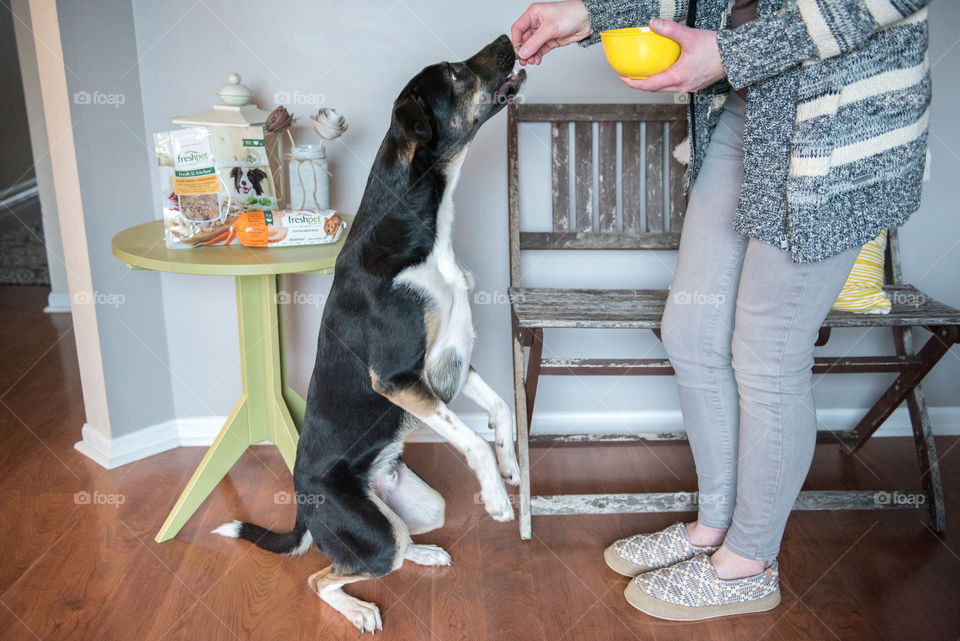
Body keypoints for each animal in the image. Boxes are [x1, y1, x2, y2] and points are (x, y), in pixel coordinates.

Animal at [215, 33, 528, 632]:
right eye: (455, 74)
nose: (508, 38)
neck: (420, 225)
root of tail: (301, 503)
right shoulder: (400, 377)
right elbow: (471, 438)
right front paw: (497, 496)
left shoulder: (451, 362)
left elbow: (500, 410)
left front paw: (511, 465)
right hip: (371, 534)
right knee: (325, 575)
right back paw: (359, 610)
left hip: (418, 507)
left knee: (396, 543)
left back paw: (426, 552)